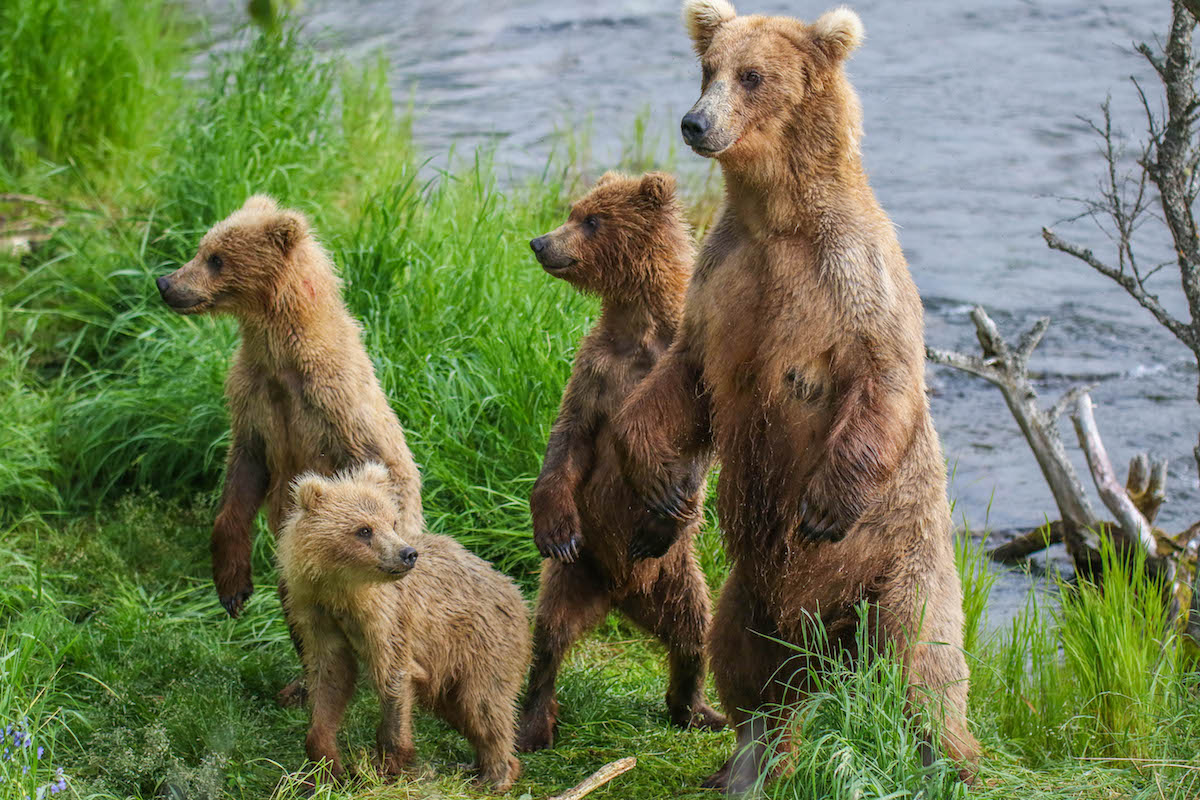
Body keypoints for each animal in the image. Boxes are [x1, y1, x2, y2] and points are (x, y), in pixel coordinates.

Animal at [156, 196, 422, 705]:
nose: (166, 283)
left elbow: (386, 467)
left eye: (216, 258)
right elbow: (241, 478)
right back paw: (300, 683)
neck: (280, 353)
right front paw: (232, 586)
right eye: (202, 247)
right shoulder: (254, 402)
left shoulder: (336, 402)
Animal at [520, 172, 724, 753]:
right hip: (575, 571)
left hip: (676, 574)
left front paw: (667, 499)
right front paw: (551, 524)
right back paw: (534, 723)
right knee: (549, 637)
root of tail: (619, 595)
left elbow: (701, 445)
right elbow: (568, 438)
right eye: (573, 210)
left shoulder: (690, 365)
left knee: (694, 631)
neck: (640, 328)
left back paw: (697, 708)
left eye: (592, 220)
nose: (540, 242)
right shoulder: (595, 370)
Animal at [614, 1, 979, 796]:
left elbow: (884, 377)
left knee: (921, 665)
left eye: (753, 75)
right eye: (708, 67)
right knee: (748, 667)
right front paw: (660, 496)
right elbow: (679, 387)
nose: (695, 122)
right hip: (750, 589)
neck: (776, 220)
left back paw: (948, 761)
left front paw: (823, 505)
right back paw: (749, 760)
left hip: (901, 568)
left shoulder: (851, 278)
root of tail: (829, 644)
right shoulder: (723, 282)